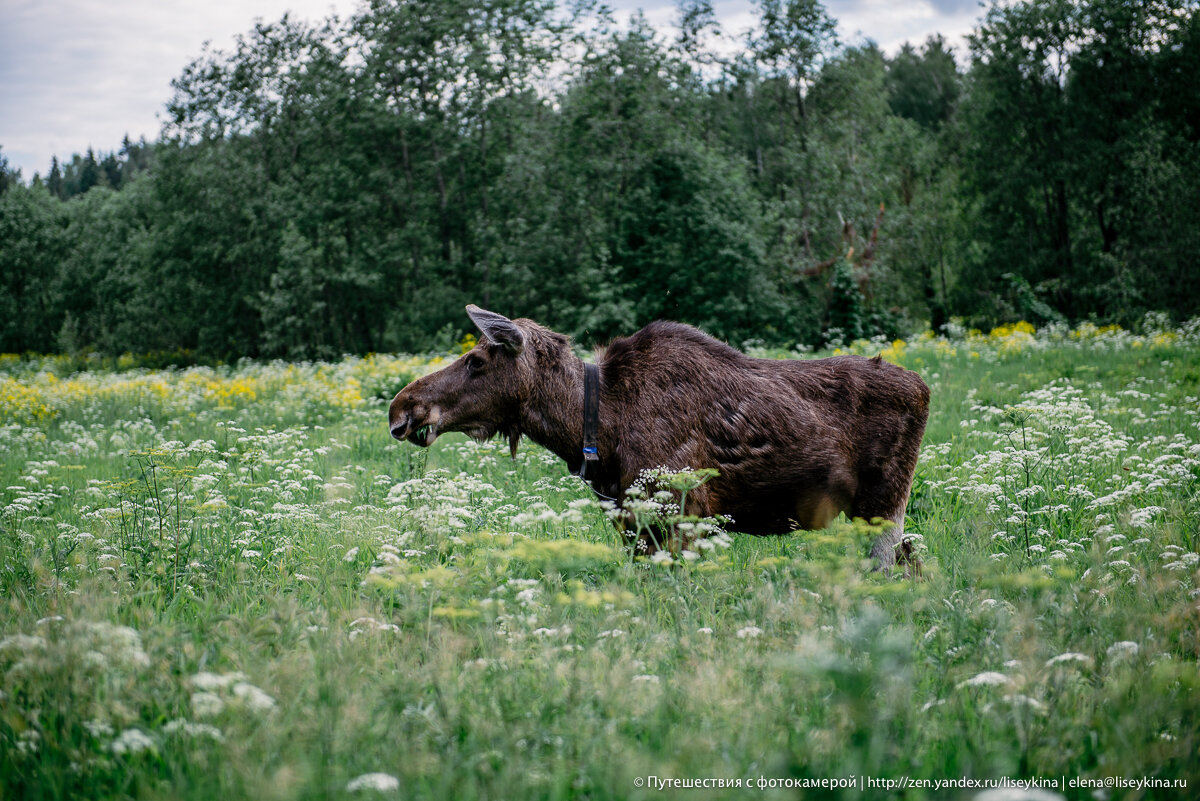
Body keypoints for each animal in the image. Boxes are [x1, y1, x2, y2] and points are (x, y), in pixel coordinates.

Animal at [388, 302, 931, 568]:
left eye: (477, 360)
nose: (402, 408)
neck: (597, 427)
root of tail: (925, 388)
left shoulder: (681, 511)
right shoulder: (631, 519)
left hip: (884, 505)